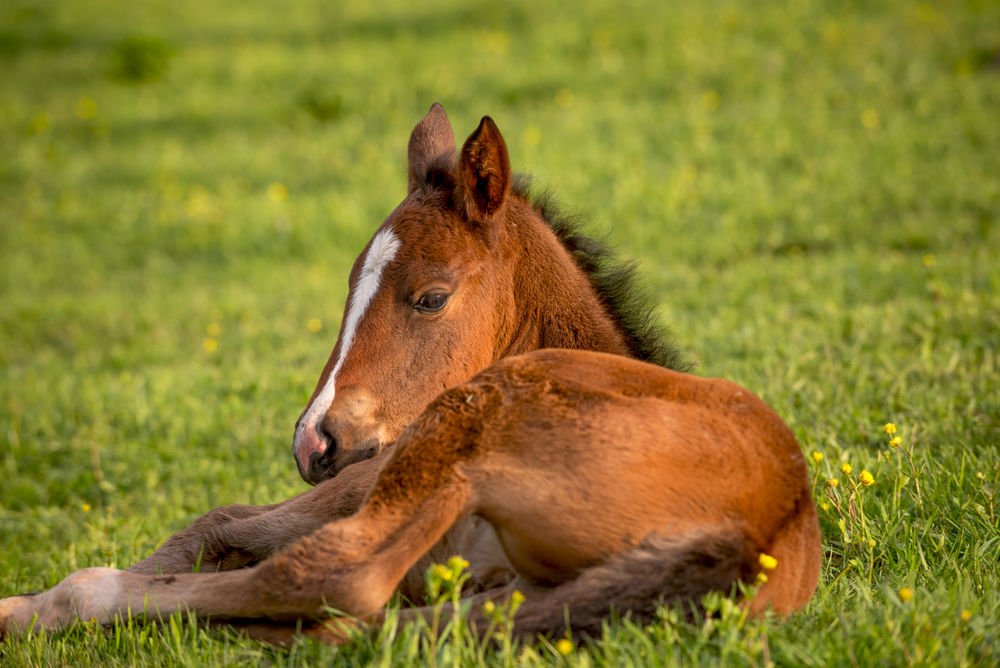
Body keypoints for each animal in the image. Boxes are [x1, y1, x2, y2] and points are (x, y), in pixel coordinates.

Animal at [0, 104, 820, 640]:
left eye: (430, 297)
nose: (314, 442)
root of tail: (755, 527)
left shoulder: (369, 474)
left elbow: (224, 524)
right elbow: (217, 527)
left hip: (459, 429)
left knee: (334, 576)